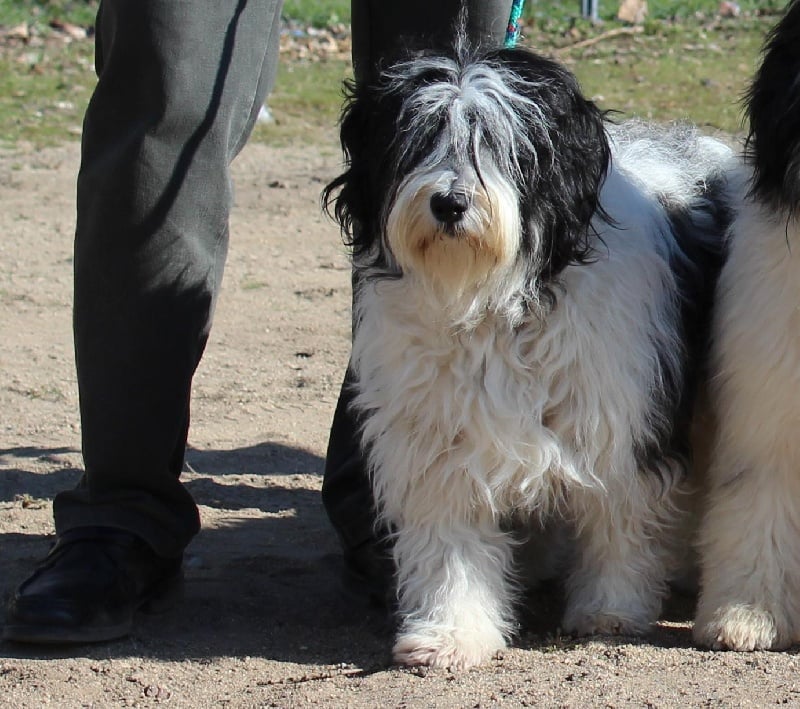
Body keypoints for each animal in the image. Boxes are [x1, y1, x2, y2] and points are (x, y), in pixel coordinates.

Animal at [324, 37, 732, 668]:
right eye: (417, 140)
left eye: (496, 143)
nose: (450, 203)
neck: (494, 298)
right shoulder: (437, 437)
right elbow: (451, 543)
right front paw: (451, 632)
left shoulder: (615, 419)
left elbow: (618, 518)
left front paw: (611, 609)